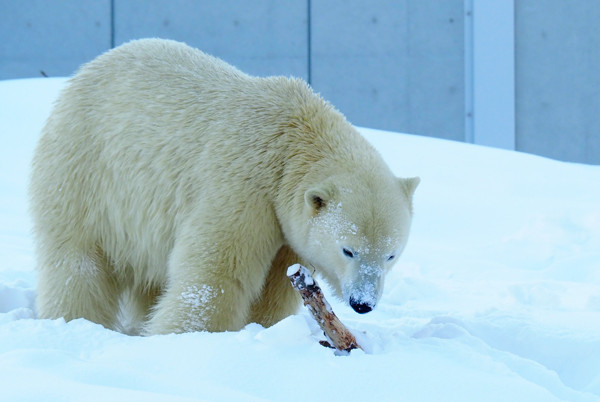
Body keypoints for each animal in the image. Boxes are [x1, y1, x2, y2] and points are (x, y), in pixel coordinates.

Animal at [30, 38, 418, 332]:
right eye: (348, 250)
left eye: (391, 254)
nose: (362, 303)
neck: (293, 140)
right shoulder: (245, 184)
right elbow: (218, 272)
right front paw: (185, 336)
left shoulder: (287, 228)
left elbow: (276, 289)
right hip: (87, 169)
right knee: (78, 260)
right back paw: (75, 320)